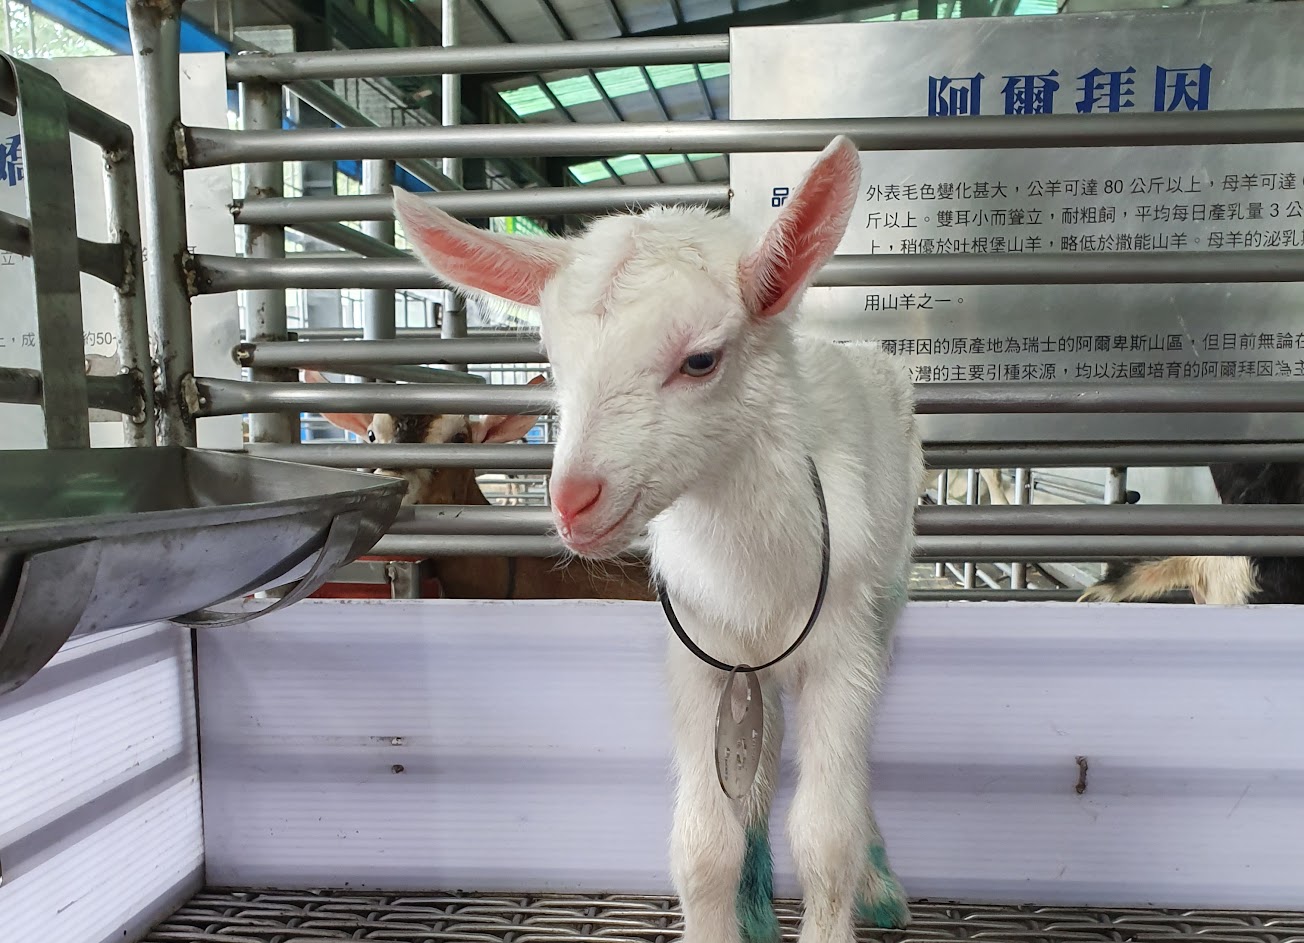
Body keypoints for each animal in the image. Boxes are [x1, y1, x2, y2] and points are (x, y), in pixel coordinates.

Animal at [393, 135, 922, 941]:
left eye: (700, 358)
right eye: (554, 363)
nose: (573, 501)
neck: (756, 574)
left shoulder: (843, 642)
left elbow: (826, 832)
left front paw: (847, 888)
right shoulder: (700, 653)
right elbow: (703, 843)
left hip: (889, 588)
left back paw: (880, 884)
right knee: (761, 754)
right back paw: (757, 907)